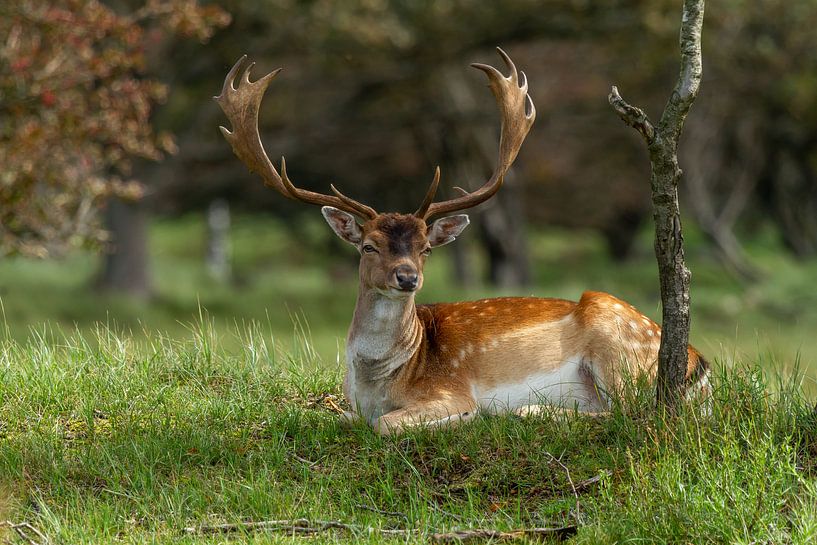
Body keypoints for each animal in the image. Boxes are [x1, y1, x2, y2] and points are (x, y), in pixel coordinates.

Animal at [215, 49, 708, 436]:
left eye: (425, 248)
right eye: (369, 246)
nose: (407, 277)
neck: (379, 380)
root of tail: (699, 365)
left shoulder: (448, 389)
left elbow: (387, 424)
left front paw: (465, 418)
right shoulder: (351, 407)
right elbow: (345, 417)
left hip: (618, 348)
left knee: (637, 413)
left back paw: (530, 411)